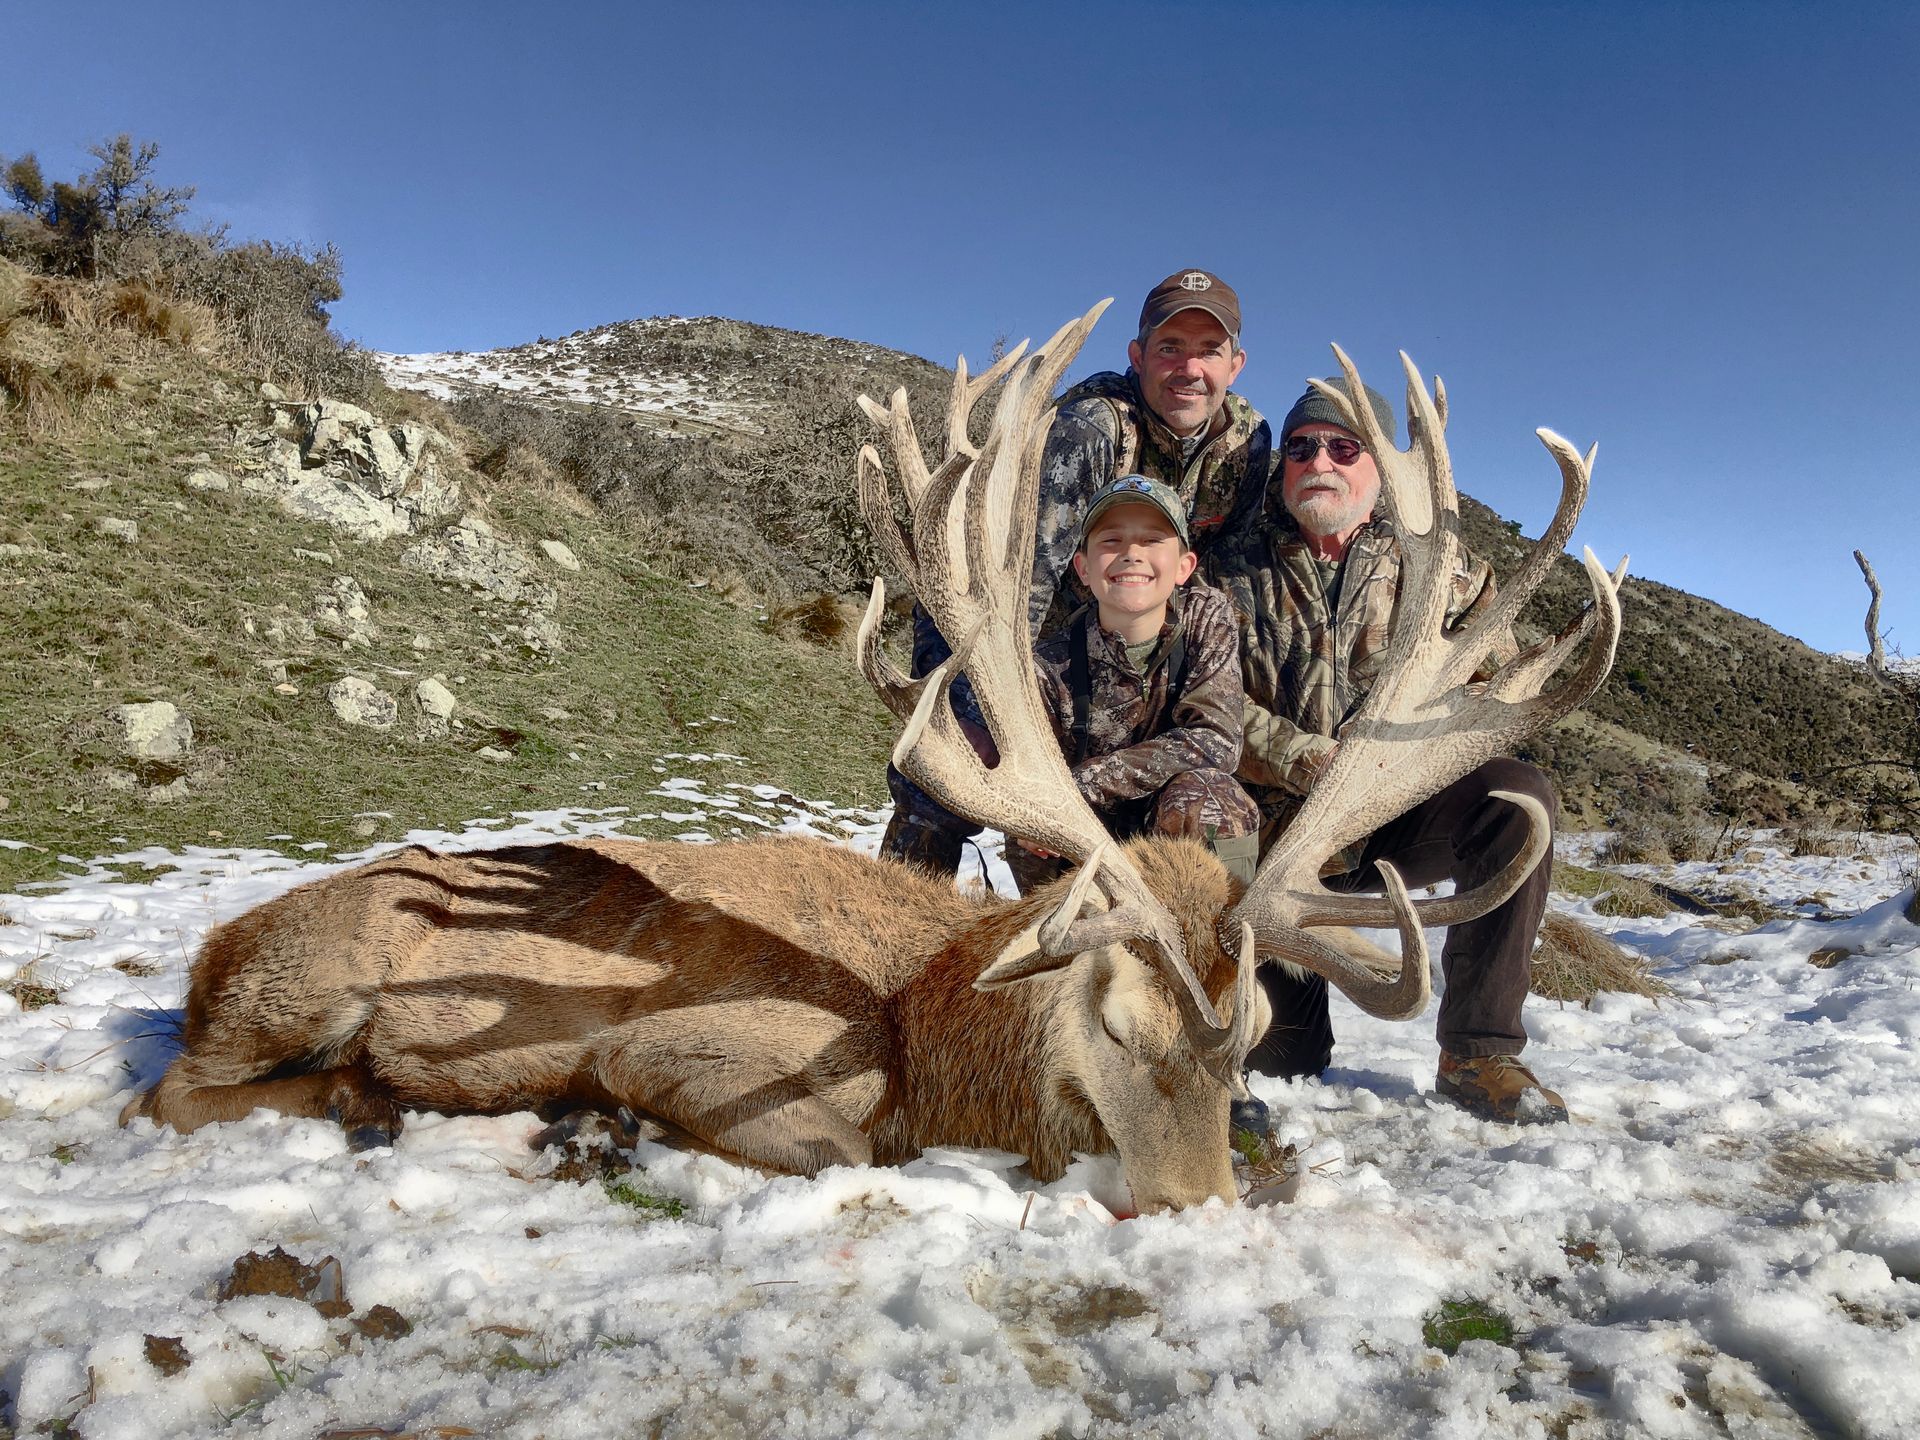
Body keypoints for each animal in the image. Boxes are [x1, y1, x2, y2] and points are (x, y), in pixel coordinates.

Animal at [119, 300, 1625, 1214]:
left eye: (1253, 1032)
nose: (1195, 1202)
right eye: (1115, 1024)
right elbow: (834, 1149)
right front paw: (595, 1129)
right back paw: (361, 1106)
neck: (933, 1032)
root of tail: (214, 945)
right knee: (171, 1090)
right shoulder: (699, 1050)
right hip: (313, 980)